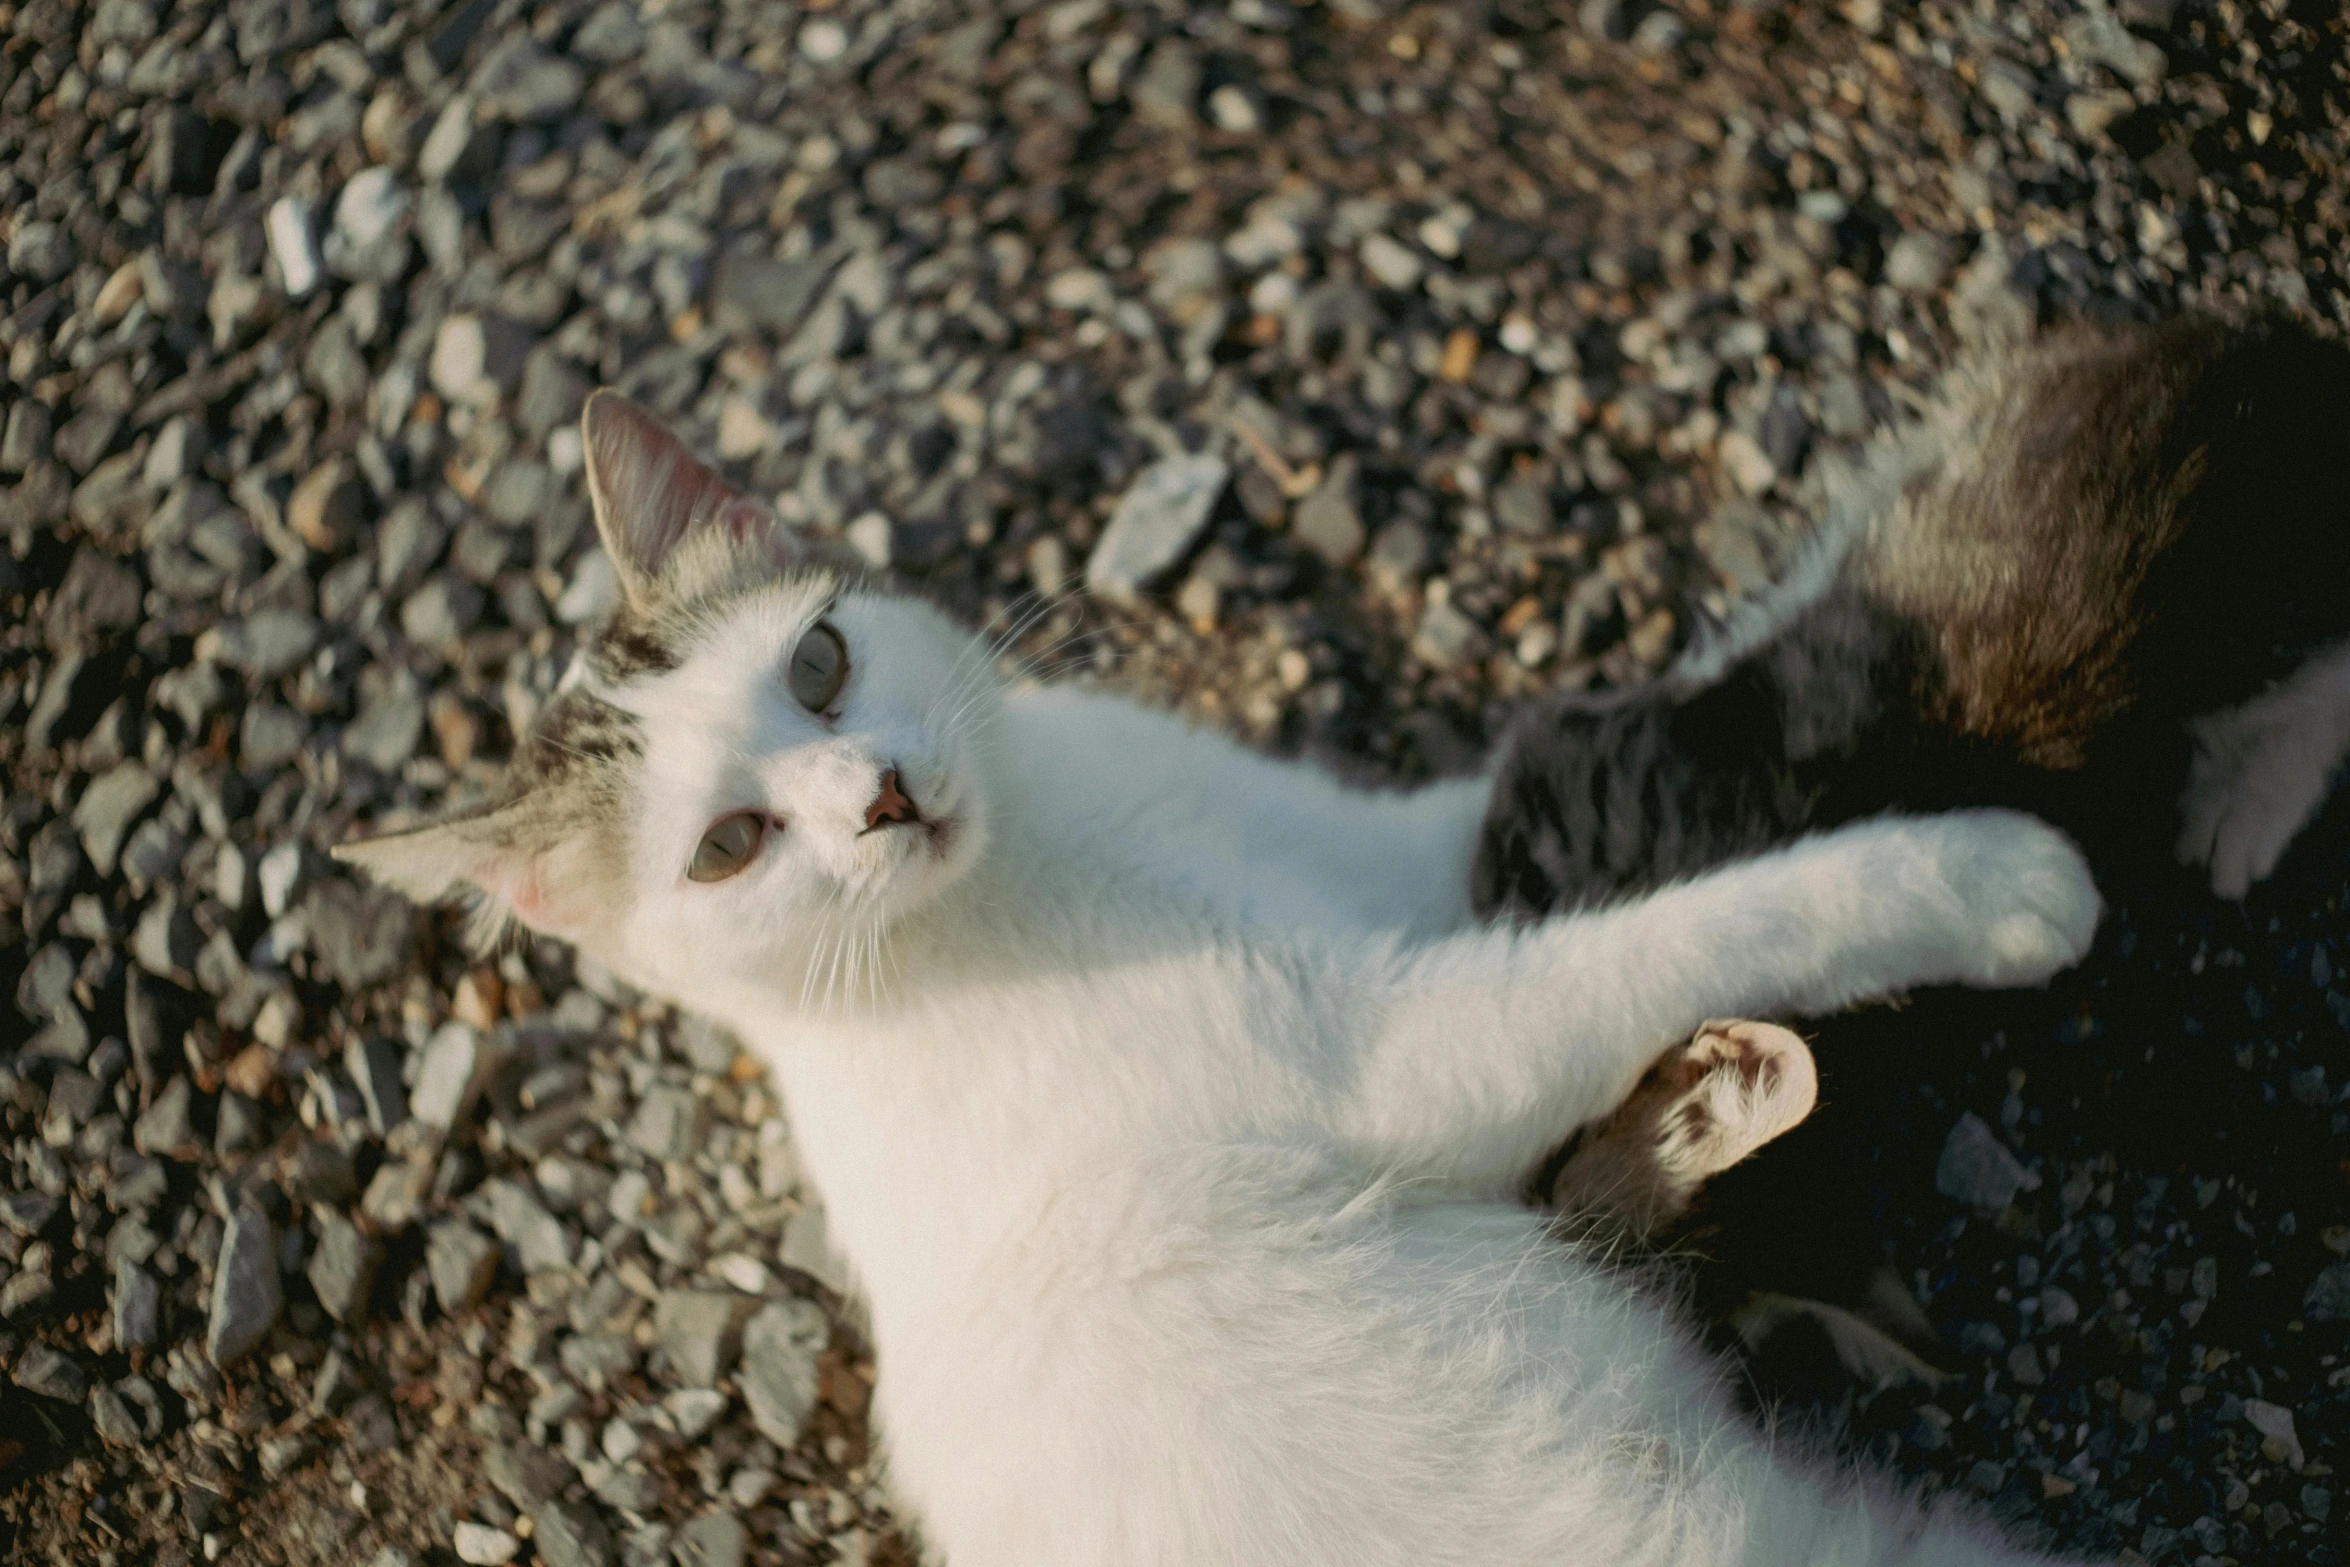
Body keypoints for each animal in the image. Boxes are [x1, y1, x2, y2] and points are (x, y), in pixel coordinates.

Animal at [347, 394, 2115, 1567]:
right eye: (726, 847)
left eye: (821, 663)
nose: (880, 797)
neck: (1040, 842)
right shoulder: (1408, 1043)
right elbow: (1687, 925)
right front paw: (1989, 875)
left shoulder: (1380, 865)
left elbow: (1506, 816)